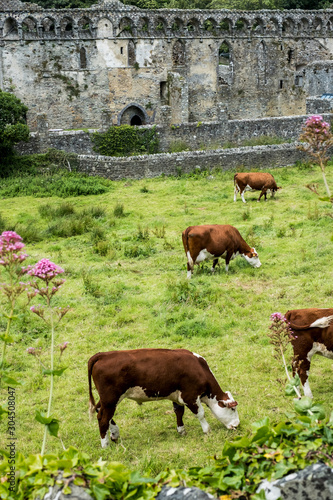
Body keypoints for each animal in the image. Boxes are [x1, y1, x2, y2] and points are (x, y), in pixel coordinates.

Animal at [88, 348, 239, 450]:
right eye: (232, 409)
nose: (237, 425)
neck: (198, 368)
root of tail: (103, 355)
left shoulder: (177, 397)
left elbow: (179, 412)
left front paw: (181, 430)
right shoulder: (190, 396)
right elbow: (200, 414)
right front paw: (207, 430)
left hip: (107, 400)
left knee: (101, 411)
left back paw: (115, 433)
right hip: (111, 399)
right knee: (103, 419)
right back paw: (105, 444)